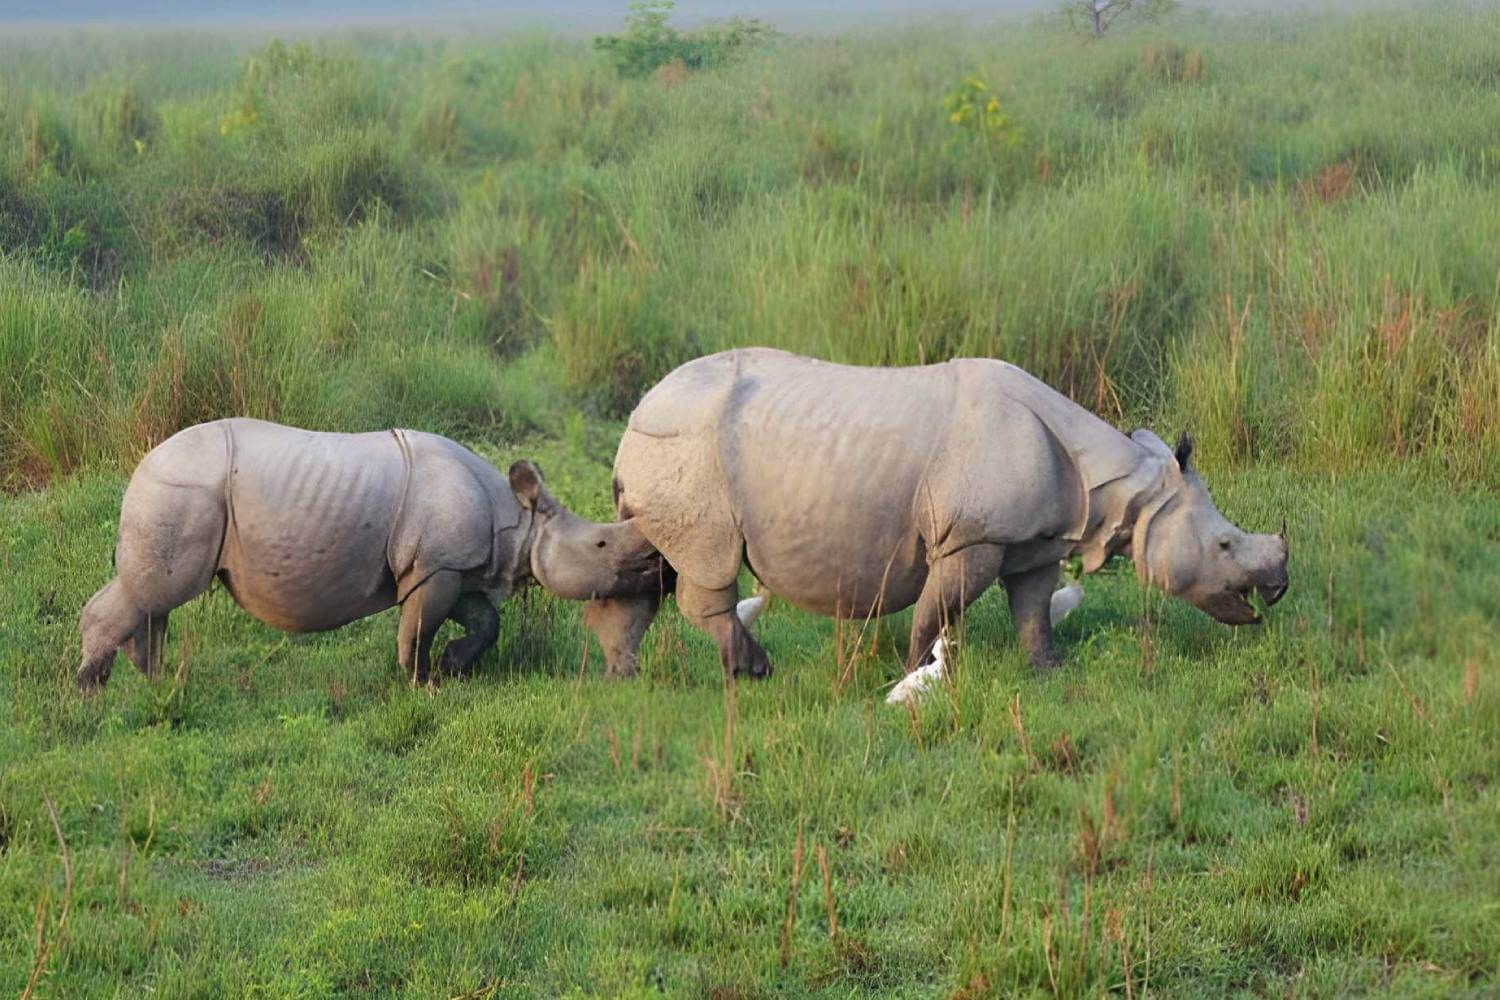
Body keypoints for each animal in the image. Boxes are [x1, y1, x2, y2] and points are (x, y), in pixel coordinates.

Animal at [77, 418, 661, 693]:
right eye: (601, 544)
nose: (656, 564)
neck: (518, 520)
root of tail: (140, 464)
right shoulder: (435, 567)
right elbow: (416, 628)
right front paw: (421, 682)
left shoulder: (454, 565)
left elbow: (484, 621)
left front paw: (452, 667)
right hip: (182, 489)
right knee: (156, 591)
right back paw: (91, 691)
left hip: (177, 491)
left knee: (150, 596)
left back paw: (154, 681)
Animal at [583, 349, 1289, 679]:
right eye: (1225, 546)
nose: (1280, 586)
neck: (1121, 488)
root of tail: (635, 413)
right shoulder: (971, 537)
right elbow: (940, 606)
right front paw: (916, 670)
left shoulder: (1031, 537)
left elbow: (1033, 607)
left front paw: (1049, 669)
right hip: (685, 448)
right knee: (707, 562)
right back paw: (752, 673)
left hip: (667, 450)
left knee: (651, 560)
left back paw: (629, 673)